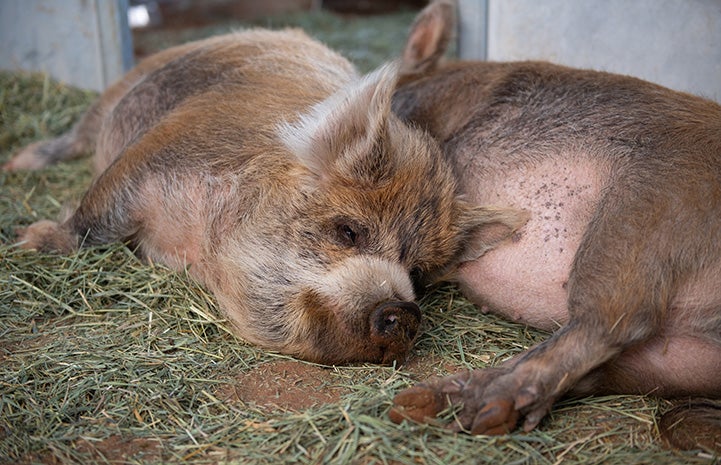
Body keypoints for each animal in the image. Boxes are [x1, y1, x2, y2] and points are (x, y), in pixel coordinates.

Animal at [2, 29, 524, 366]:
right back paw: (18, 162)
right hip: (113, 97)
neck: (199, 254)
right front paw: (25, 240)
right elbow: (93, 216)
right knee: (77, 135)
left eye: (416, 274)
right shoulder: (150, 157)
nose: (405, 311)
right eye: (348, 231)